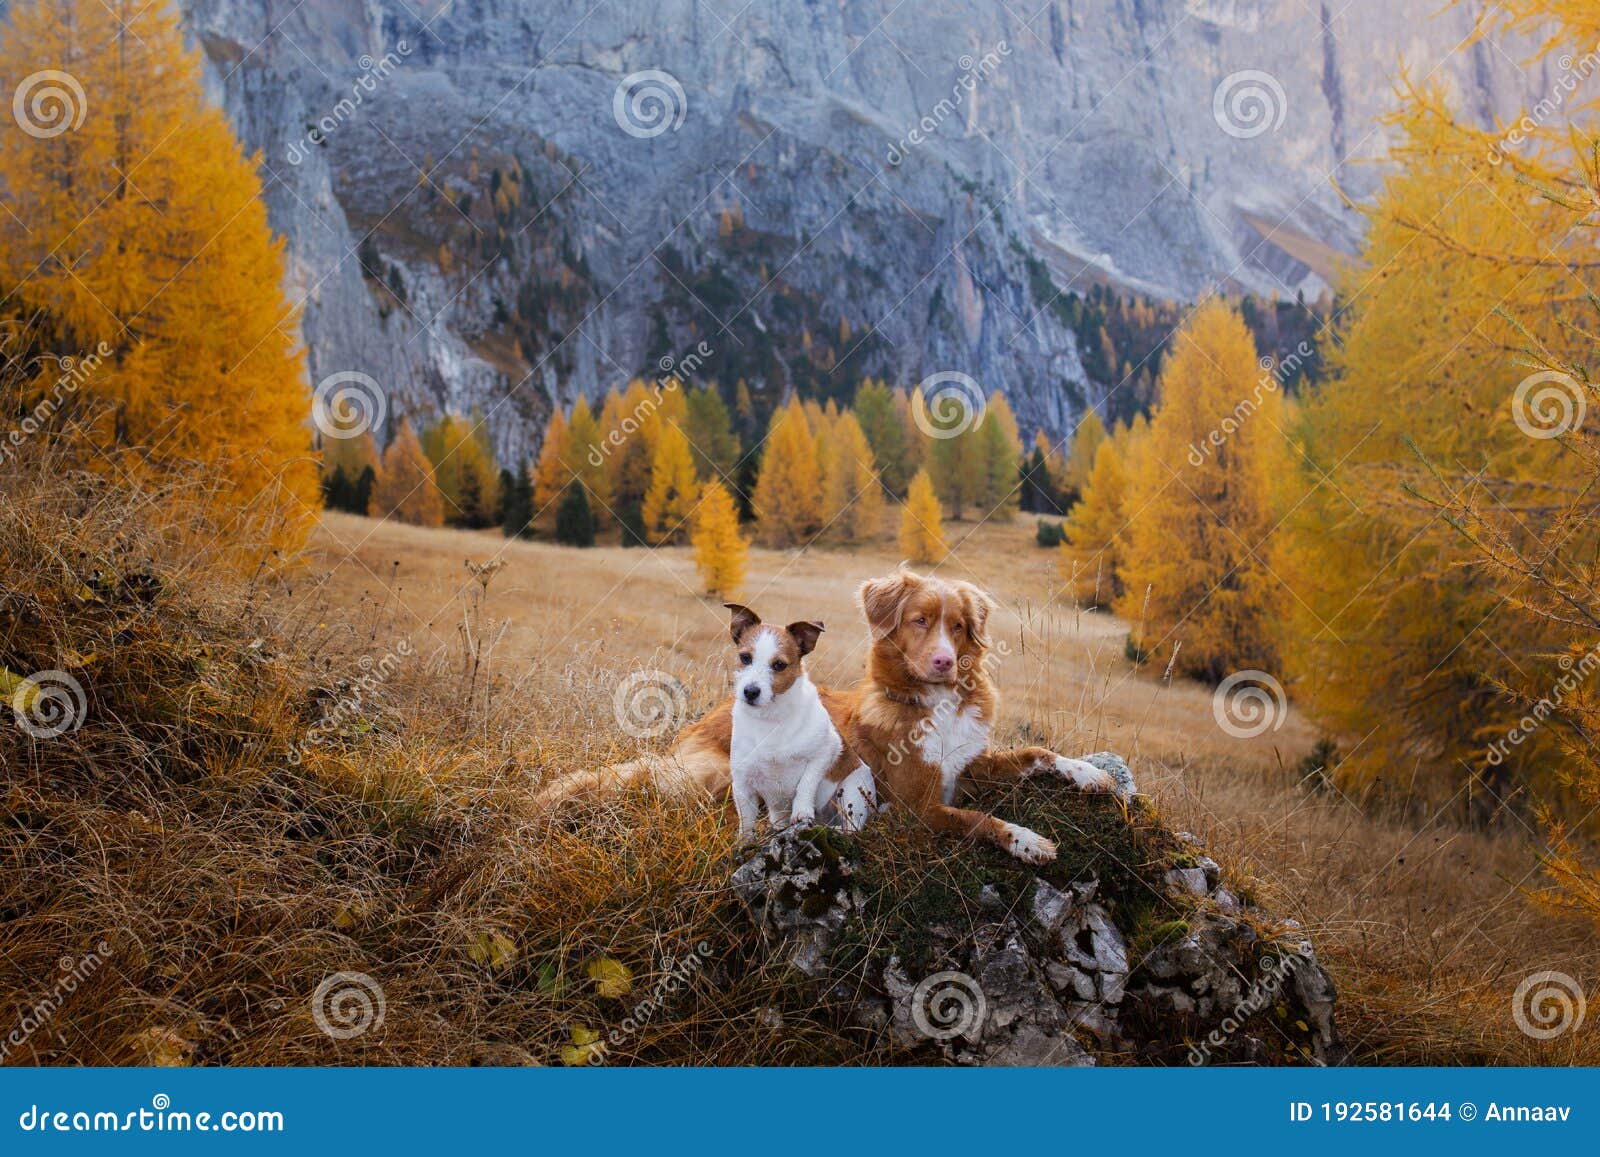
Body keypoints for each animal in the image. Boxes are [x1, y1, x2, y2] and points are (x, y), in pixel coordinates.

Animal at [844, 566, 1132, 864]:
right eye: (920, 620)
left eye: (958, 626)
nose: (944, 662)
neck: (941, 705)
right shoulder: (915, 809)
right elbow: (974, 817)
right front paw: (1026, 840)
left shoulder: (977, 767)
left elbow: (1036, 752)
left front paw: (1091, 774)